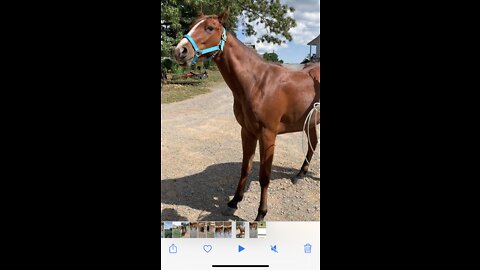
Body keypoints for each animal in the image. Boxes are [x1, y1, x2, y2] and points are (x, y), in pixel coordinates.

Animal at [172, 7, 318, 221]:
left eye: (210, 27)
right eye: (191, 25)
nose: (179, 51)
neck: (257, 83)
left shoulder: (268, 134)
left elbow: (264, 175)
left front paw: (261, 213)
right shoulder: (247, 131)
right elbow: (245, 168)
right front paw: (234, 201)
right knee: (312, 143)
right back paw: (300, 174)